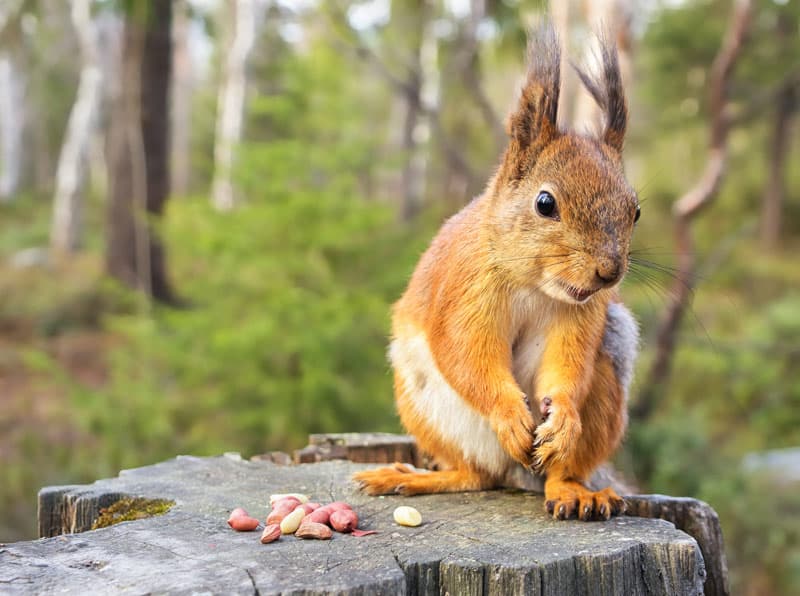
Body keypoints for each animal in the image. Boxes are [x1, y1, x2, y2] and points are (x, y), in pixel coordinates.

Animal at [354, 23, 640, 520]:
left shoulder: (582, 316)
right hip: (426, 406)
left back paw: (575, 490)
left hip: (605, 386)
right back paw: (417, 477)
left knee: (555, 471)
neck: (534, 285)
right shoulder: (464, 289)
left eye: (635, 211)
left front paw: (563, 415)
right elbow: (466, 352)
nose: (608, 272)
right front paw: (508, 412)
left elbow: (568, 363)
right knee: (475, 475)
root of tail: (517, 471)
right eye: (545, 203)